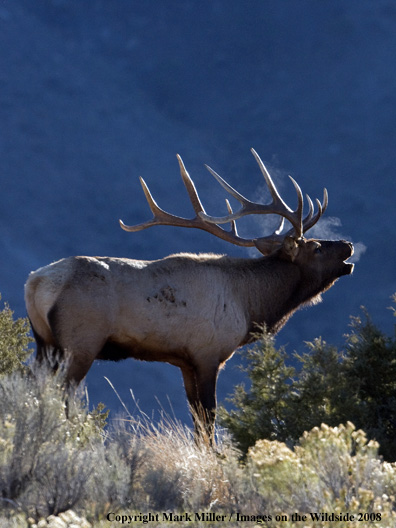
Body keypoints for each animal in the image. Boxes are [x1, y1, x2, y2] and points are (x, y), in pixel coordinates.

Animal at [24, 148, 352, 442]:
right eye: (316, 247)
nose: (347, 244)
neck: (251, 305)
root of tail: (36, 281)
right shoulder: (209, 352)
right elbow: (209, 416)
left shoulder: (184, 361)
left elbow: (195, 417)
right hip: (80, 343)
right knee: (62, 394)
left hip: (44, 342)